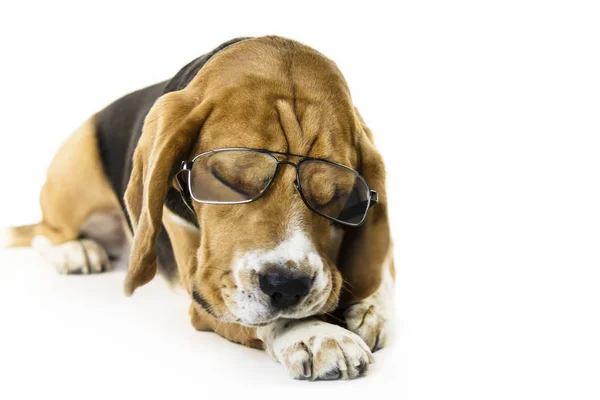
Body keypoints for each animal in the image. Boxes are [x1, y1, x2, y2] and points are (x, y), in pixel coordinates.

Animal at [8, 37, 398, 382]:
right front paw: (314, 333)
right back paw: (76, 252)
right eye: (229, 180)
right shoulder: (206, 291)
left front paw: (369, 308)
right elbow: (261, 314)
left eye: (335, 195)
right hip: (75, 172)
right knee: (44, 231)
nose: (288, 286)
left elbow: (380, 273)